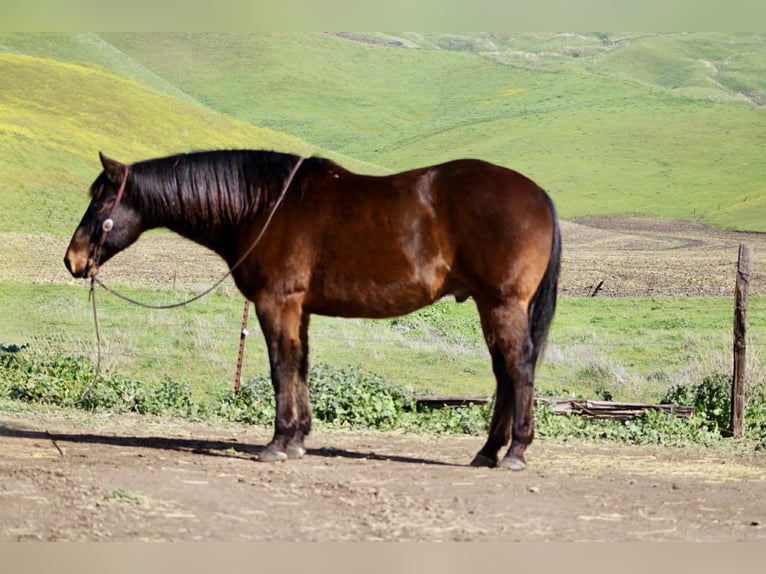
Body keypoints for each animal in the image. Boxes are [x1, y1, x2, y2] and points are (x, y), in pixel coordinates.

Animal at [65, 150, 561, 470]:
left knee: (518, 368)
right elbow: (300, 365)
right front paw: (299, 438)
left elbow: (280, 367)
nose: (73, 259)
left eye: (102, 200)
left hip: (501, 304)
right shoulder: (298, 309)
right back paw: (488, 452)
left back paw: (515, 452)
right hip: (489, 305)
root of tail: (538, 194)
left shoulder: (276, 303)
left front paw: (278, 442)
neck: (262, 205)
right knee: (503, 373)